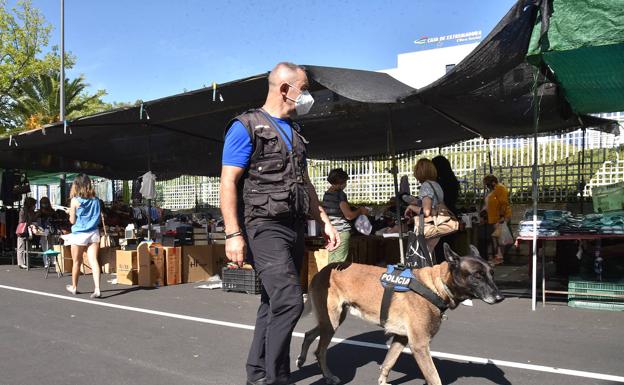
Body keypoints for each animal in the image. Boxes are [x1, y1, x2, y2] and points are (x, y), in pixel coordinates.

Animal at [294, 243, 504, 384]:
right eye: (477, 275)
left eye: (492, 273)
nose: (500, 297)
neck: (435, 286)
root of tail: (321, 272)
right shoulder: (419, 345)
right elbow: (434, 378)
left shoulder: (401, 339)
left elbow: (387, 363)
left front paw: (382, 381)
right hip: (332, 322)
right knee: (320, 351)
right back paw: (328, 375)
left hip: (332, 320)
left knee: (309, 334)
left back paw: (301, 359)